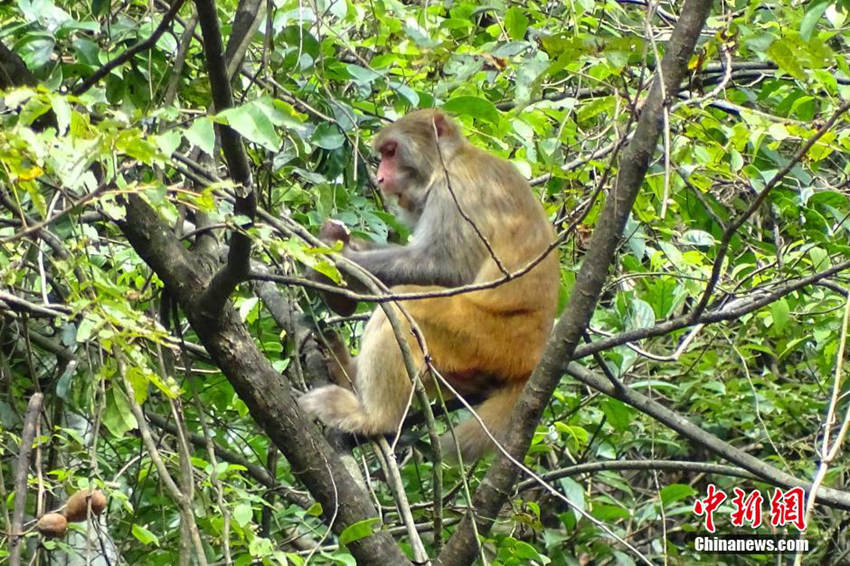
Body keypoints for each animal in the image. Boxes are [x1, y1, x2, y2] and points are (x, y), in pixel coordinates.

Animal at [298, 108, 556, 464]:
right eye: (382, 156)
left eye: (391, 152)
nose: (380, 178)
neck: (451, 159)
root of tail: (534, 355)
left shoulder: (457, 191)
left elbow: (449, 271)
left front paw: (334, 262)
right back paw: (345, 371)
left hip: (485, 338)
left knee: (407, 304)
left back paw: (373, 417)